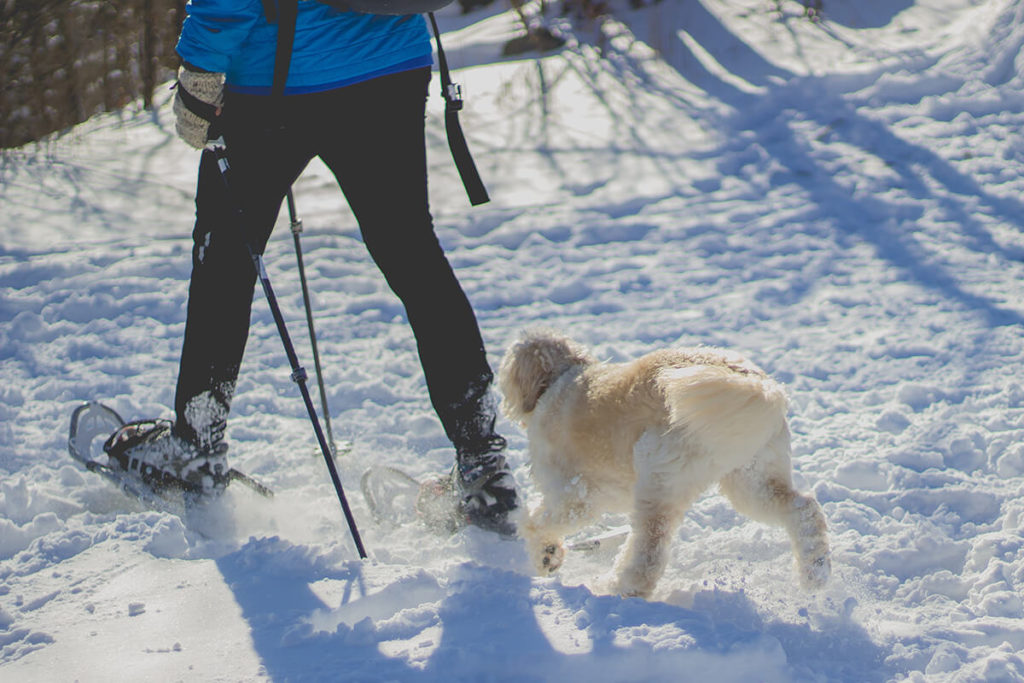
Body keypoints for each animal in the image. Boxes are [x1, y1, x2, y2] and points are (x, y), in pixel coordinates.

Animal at [497, 329, 831, 598]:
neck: (561, 378)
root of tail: (755, 384)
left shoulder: (574, 496)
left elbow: (536, 523)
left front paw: (545, 554)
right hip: (753, 479)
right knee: (803, 510)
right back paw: (815, 573)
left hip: (658, 479)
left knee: (649, 552)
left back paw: (619, 589)